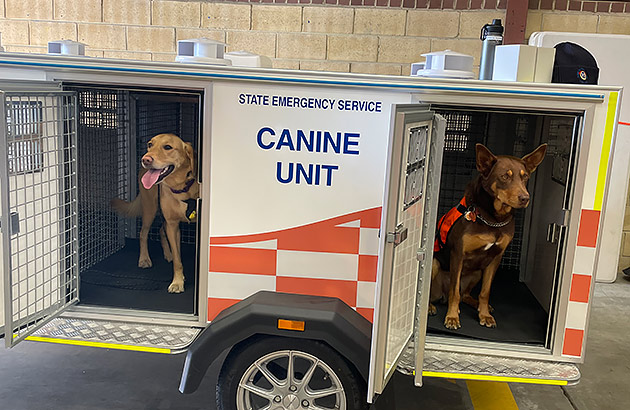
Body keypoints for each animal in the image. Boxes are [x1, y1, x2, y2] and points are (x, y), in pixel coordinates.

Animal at [111, 133, 199, 294]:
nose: (145, 159)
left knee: (160, 229)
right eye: (150, 144)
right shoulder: (172, 224)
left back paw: (168, 254)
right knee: (144, 233)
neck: (180, 188)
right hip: (150, 209)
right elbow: (178, 261)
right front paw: (177, 282)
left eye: (168, 147)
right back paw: (145, 259)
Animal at [430, 143, 548, 328]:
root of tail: (440, 295)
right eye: (504, 177)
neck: (493, 219)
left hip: (477, 272)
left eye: (525, 177)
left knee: (466, 295)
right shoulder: (458, 254)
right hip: (435, 264)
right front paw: (452, 317)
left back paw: (478, 304)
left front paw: (484, 315)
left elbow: (485, 292)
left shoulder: (495, 258)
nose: (525, 198)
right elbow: (454, 292)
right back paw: (429, 306)